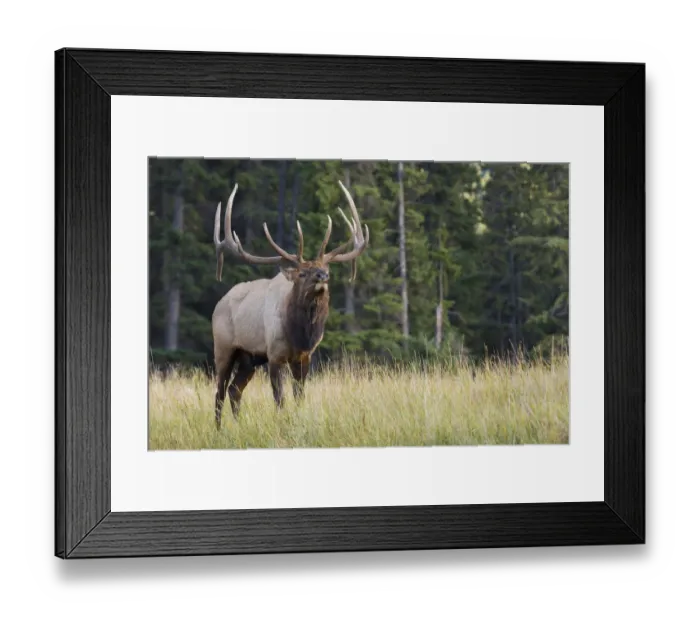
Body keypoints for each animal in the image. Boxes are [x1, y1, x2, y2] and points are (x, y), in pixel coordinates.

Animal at [211, 179, 369, 429]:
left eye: (326, 268)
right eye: (303, 273)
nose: (323, 275)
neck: (300, 334)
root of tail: (218, 303)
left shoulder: (304, 356)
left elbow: (299, 397)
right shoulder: (275, 355)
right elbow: (280, 399)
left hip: (249, 358)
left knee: (235, 390)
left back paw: (237, 425)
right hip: (224, 348)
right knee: (219, 392)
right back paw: (219, 430)